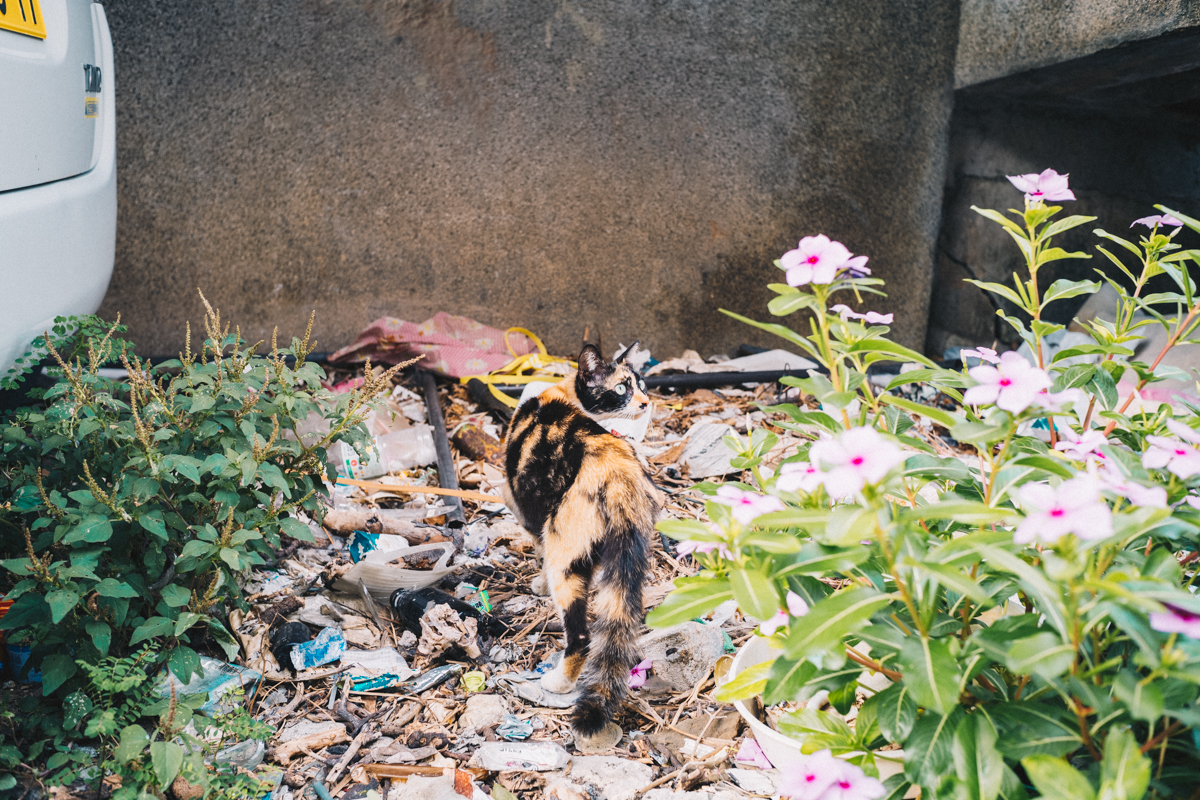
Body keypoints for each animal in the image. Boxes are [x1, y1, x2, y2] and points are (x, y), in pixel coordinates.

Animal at [501, 345, 662, 753]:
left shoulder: (524, 507)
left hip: (566, 553)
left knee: (582, 636)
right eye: (624, 387)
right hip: (630, 555)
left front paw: (538, 584)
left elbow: (537, 545)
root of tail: (619, 474)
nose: (646, 402)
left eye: (640, 384)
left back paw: (558, 682)